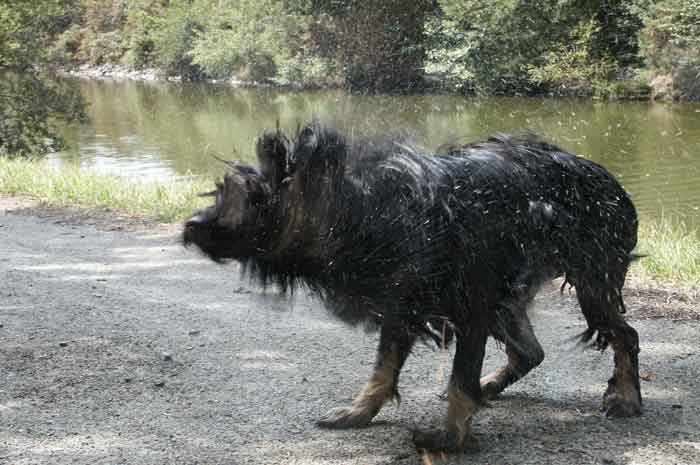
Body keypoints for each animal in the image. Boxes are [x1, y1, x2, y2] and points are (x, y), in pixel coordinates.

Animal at [183, 123, 644, 454]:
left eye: (250, 201)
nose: (189, 226)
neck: (365, 213)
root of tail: (608, 177)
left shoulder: (471, 309)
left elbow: (459, 381)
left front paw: (450, 439)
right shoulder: (402, 307)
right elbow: (383, 370)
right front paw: (359, 412)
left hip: (592, 283)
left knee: (625, 335)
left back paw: (626, 399)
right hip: (510, 300)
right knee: (531, 351)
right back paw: (491, 386)